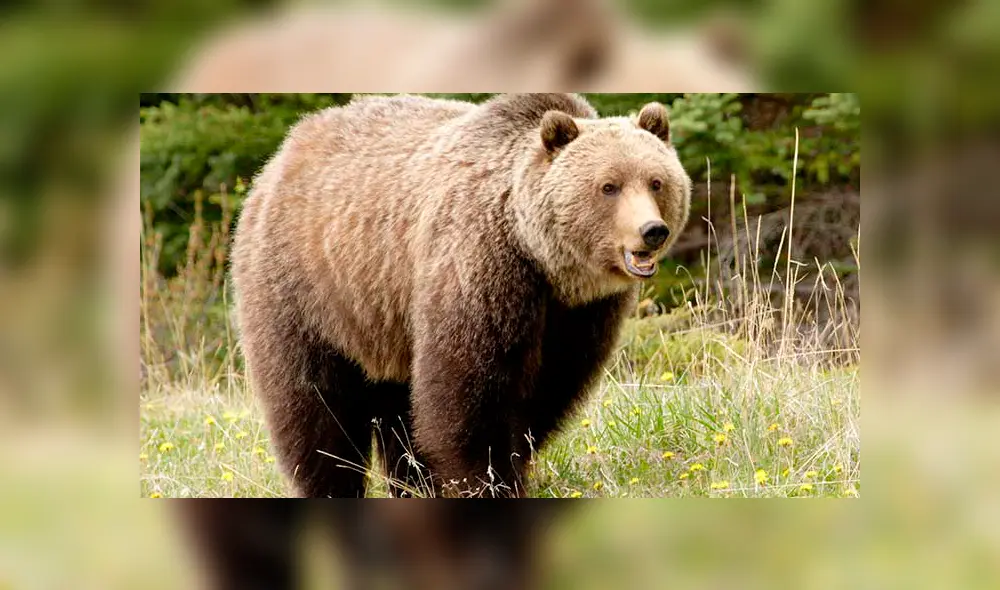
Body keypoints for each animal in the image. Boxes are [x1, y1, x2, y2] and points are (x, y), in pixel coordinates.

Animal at [230, 93, 691, 497]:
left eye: (657, 182)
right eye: (609, 186)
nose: (652, 231)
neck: (542, 258)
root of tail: (277, 159)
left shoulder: (579, 314)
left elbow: (549, 390)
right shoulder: (478, 266)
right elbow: (469, 394)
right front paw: (489, 480)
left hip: (384, 318)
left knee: (398, 408)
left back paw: (412, 485)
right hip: (306, 289)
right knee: (314, 406)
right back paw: (333, 483)